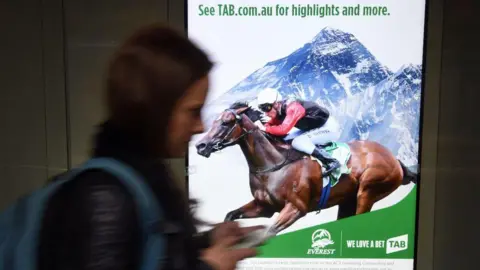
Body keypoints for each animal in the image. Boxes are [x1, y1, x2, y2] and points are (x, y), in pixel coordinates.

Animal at [195, 102, 416, 235]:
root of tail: (395, 159)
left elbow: (267, 233)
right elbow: (230, 215)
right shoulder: (264, 206)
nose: (200, 145)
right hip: (348, 200)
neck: (273, 164)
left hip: (368, 192)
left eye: (227, 122)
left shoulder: (295, 208)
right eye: (214, 121)